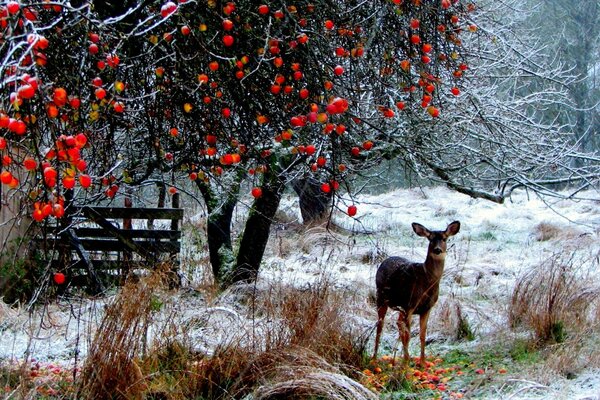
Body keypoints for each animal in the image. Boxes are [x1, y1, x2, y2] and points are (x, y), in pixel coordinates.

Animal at [372, 220, 462, 368]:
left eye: (444, 238)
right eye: (430, 239)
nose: (437, 250)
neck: (427, 282)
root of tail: (385, 260)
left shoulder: (427, 308)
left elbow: (422, 335)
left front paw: (423, 362)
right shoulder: (411, 304)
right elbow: (408, 335)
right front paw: (406, 363)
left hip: (400, 306)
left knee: (398, 323)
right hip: (381, 297)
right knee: (380, 326)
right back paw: (374, 358)